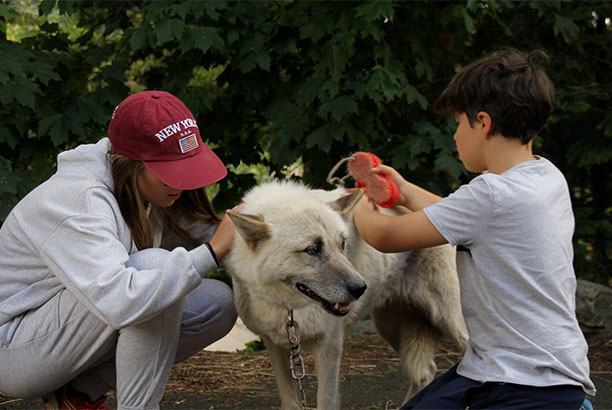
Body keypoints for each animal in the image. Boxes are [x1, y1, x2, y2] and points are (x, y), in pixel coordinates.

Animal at [226, 181, 468, 408]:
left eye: (342, 244)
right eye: (312, 249)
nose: (360, 288)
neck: (291, 310)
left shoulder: (330, 347)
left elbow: (326, 401)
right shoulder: (277, 346)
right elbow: (291, 402)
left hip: (453, 324)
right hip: (391, 329)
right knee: (426, 371)